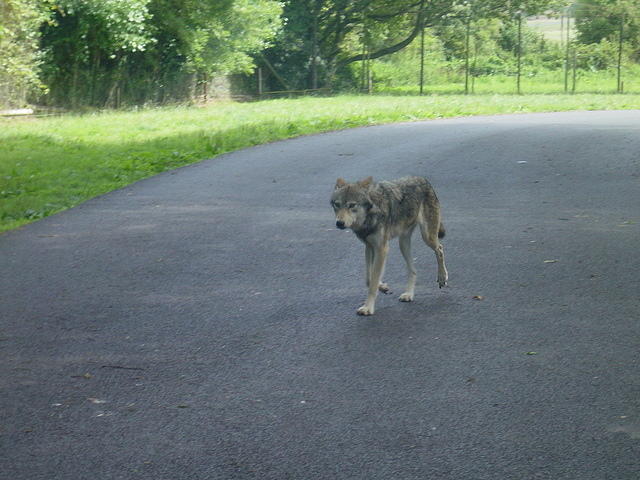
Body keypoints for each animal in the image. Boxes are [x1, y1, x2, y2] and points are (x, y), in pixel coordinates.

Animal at [332, 176, 448, 316]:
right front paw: (383, 287)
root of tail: (423, 179)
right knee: (413, 270)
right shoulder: (369, 247)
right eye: (337, 205)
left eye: (352, 205)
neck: (372, 210)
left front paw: (368, 307)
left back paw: (442, 277)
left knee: (440, 249)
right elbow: (369, 279)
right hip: (403, 244)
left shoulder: (382, 249)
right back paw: (409, 294)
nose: (339, 223)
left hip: (427, 237)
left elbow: (373, 281)